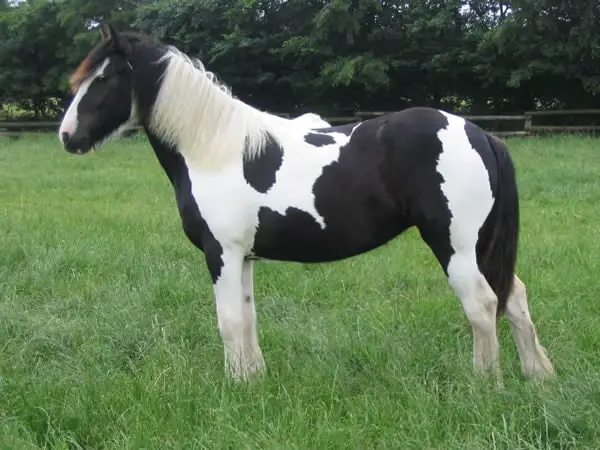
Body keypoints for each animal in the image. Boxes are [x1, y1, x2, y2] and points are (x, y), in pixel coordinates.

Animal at [58, 23, 556, 384]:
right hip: (483, 244)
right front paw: (253, 380)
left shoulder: (222, 253)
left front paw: (234, 386)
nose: (67, 137)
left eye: (105, 77)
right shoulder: (244, 256)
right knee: (513, 296)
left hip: (454, 244)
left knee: (481, 304)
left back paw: (485, 384)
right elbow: (248, 317)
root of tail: (480, 133)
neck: (215, 149)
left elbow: (228, 321)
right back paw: (538, 377)